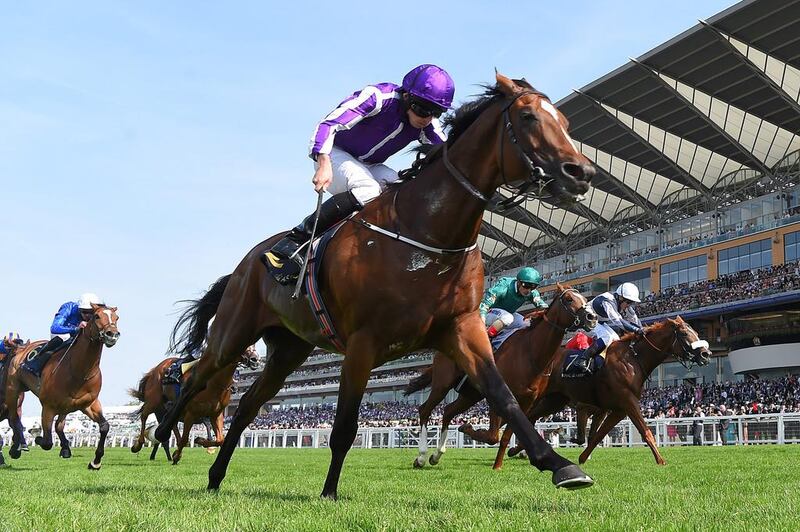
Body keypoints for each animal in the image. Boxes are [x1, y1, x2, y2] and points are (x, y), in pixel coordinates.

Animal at [3, 304, 119, 470]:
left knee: (58, 425)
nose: (112, 334)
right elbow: (46, 441)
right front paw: (36, 436)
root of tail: (20, 348)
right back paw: (16, 449)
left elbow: (104, 426)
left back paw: (64, 448)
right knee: (14, 418)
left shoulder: (90, 403)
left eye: (116, 318)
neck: (79, 371)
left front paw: (95, 462)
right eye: (96, 316)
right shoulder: (48, 407)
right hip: (14, 390)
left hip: (64, 406)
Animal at [130, 344, 258, 462]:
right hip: (154, 401)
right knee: (144, 416)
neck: (213, 383)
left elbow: (220, 439)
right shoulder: (191, 413)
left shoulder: (216, 414)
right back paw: (138, 445)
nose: (255, 359)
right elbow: (185, 438)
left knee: (172, 425)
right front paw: (178, 455)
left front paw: (199, 441)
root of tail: (155, 369)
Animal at [406, 282, 600, 466]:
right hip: (442, 384)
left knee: (447, 411)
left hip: (471, 394)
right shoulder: (499, 396)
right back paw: (421, 457)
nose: (592, 318)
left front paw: (498, 462)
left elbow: (506, 435)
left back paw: (437, 455)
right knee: (425, 410)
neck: (530, 353)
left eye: (584, 298)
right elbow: (493, 436)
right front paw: (469, 430)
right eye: (568, 299)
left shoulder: (527, 401)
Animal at [500, 318, 712, 468]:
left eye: (695, 331)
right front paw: (661, 461)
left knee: (530, 418)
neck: (633, 359)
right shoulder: (626, 402)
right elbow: (645, 432)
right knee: (524, 416)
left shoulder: (617, 409)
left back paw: (517, 450)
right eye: (684, 333)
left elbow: (597, 435)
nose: (705, 353)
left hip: (555, 400)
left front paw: (582, 457)